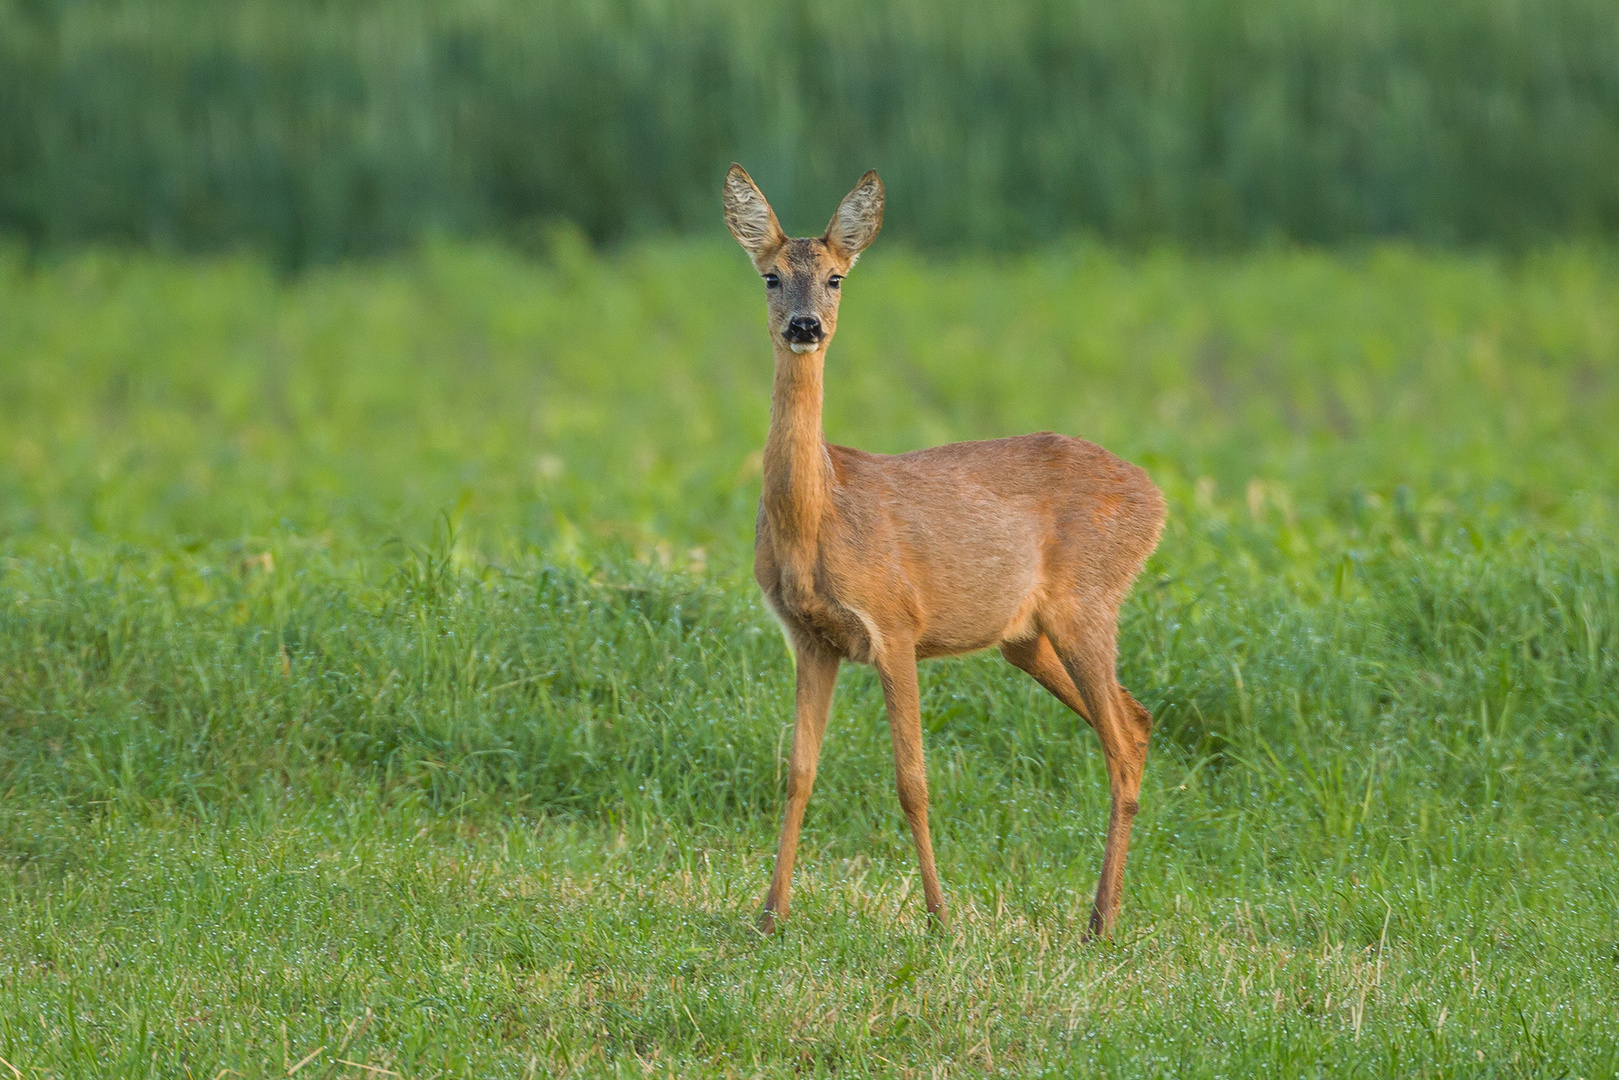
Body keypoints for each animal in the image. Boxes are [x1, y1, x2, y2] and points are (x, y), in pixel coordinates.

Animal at [728, 160, 1172, 939]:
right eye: (771, 276)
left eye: (837, 276)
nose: (805, 327)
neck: (820, 513)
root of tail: (1157, 498)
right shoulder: (810, 637)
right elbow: (798, 772)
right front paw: (769, 913)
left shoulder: (894, 623)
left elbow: (912, 780)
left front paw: (938, 917)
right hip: (1026, 636)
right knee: (1138, 721)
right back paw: (1099, 913)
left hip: (1087, 602)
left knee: (1119, 741)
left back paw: (1100, 923)